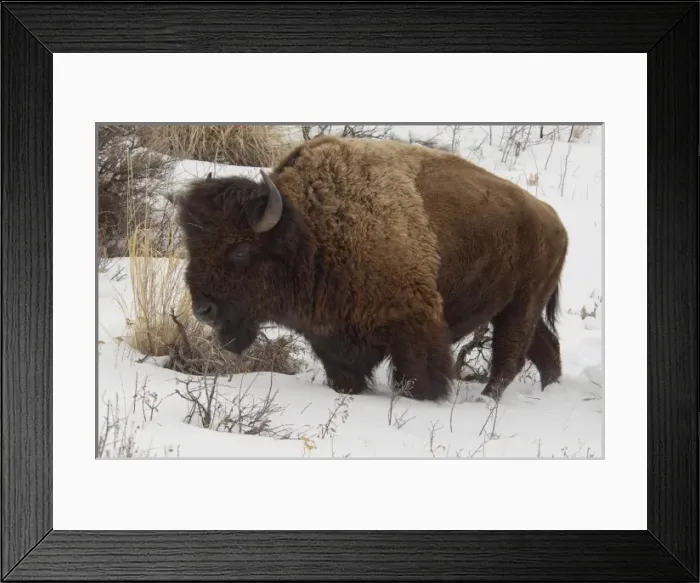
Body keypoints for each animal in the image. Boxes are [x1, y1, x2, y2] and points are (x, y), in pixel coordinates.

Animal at [177, 135, 568, 402]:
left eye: (241, 250)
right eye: (192, 246)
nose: (203, 309)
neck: (311, 231)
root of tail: (552, 218)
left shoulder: (415, 328)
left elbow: (418, 379)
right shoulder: (332, 339)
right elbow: (345, 376)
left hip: (522, 304)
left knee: (510, 356)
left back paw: (489, 400)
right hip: (512, 308)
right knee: (544, 348)